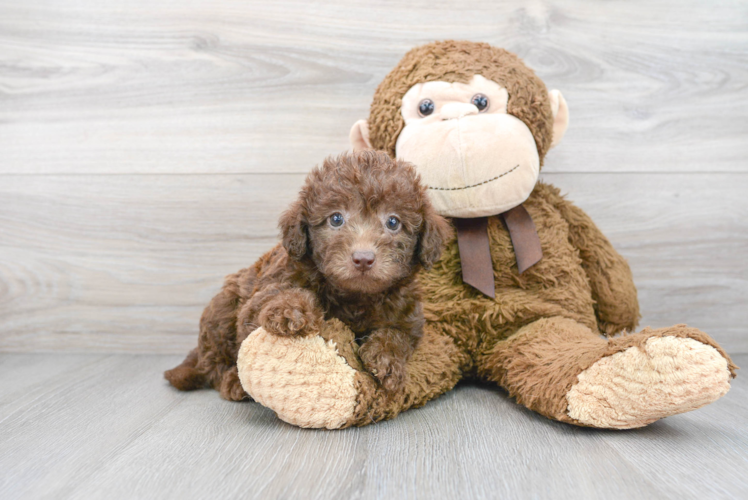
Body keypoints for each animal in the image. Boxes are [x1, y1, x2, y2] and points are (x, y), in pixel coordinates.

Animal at [166, 150, 452, 400]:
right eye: (336, 219)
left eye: (393, 222)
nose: (363, 258)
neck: (355, 297)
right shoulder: (268, 287)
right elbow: (276, 299)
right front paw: (290, 309)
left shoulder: (408, 317)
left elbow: (398, 335)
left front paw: (387, 359)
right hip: (222, 311)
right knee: (213, 364)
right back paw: (233, 382)